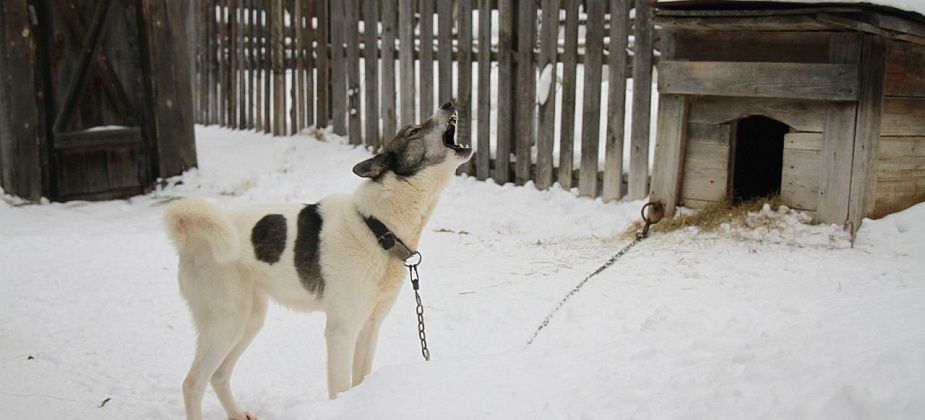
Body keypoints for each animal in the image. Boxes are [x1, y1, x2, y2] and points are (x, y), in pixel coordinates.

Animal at [164, 102, 470, 420]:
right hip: (226, 322)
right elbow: (341, 387)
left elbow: (361, 380)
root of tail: (190, 240)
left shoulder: (370, 328)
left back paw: (237, 414)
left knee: (218, 375)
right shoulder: (341, 331)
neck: (377, 226)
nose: (448, 103)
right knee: (193, 383)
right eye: (413, 131)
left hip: (249, 320)